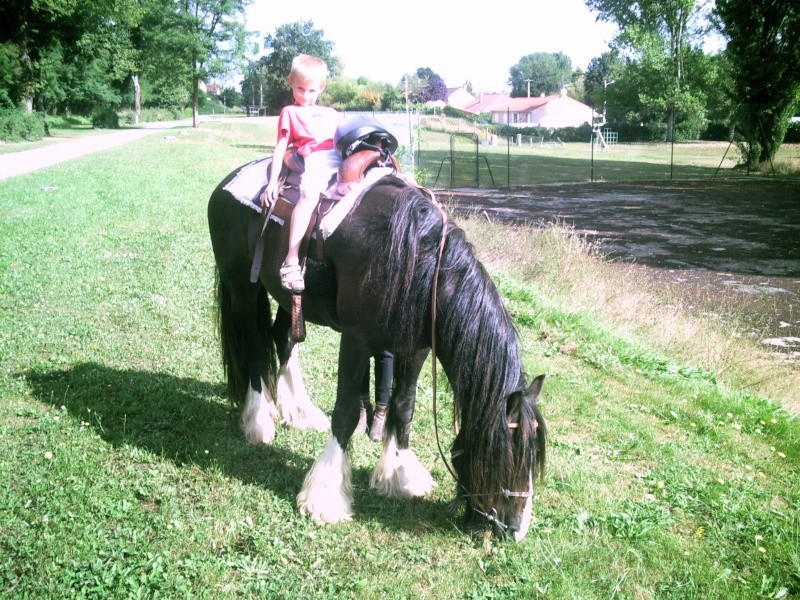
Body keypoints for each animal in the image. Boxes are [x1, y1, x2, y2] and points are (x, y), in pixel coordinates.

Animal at [206, 164, 548, 540]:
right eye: (507, 456)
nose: (515, 529)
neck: (415, 261)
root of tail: (227, 181)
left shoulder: (415, 349)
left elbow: (404, 407)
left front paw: (399, 475)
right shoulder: (356, 341)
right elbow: (345, 414)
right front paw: (325, 497)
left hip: (289, 298)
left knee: (283, 339)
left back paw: (297, 410)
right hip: (242, 287)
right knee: (254, 346)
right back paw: (258, 421)